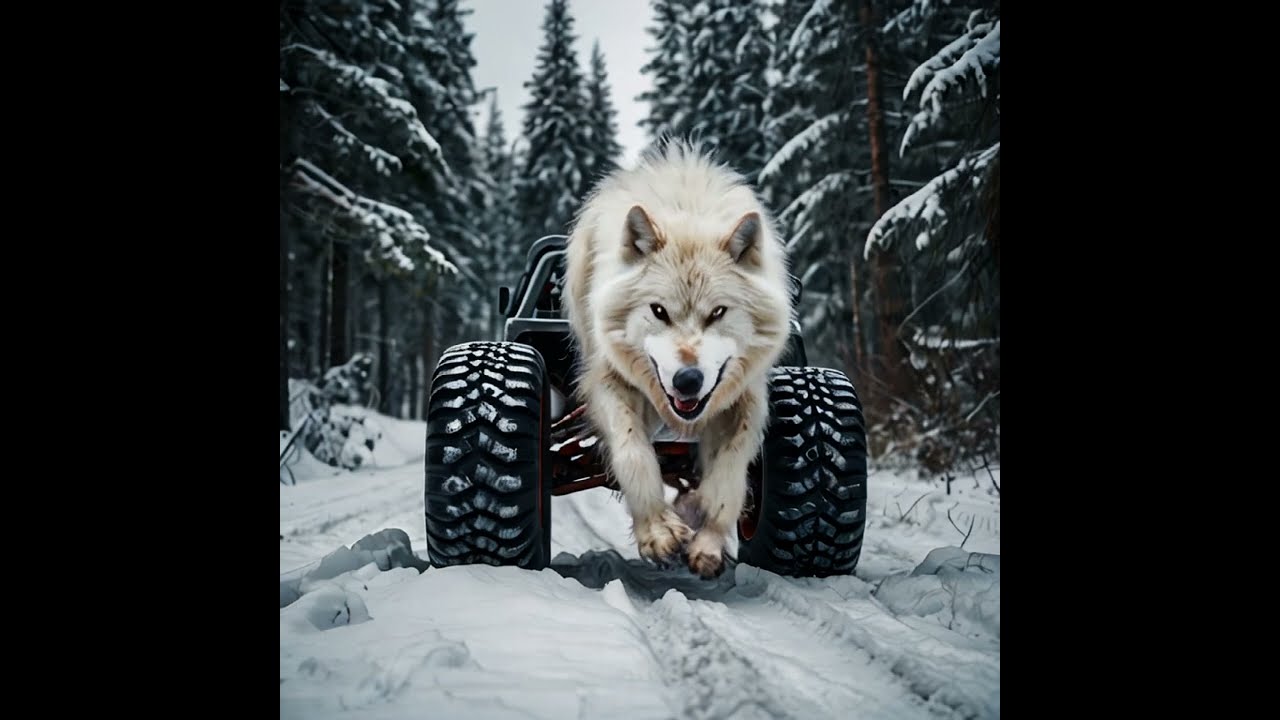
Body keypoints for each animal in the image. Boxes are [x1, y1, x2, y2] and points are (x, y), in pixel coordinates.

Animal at [563, 140, 794, 578]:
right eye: (659, 311)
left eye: (717, 313)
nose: (688, 380)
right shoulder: (607, 382)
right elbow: (634, 453)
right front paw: (658, 531)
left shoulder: (746, 397)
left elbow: (729, 475)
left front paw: (706, 538)